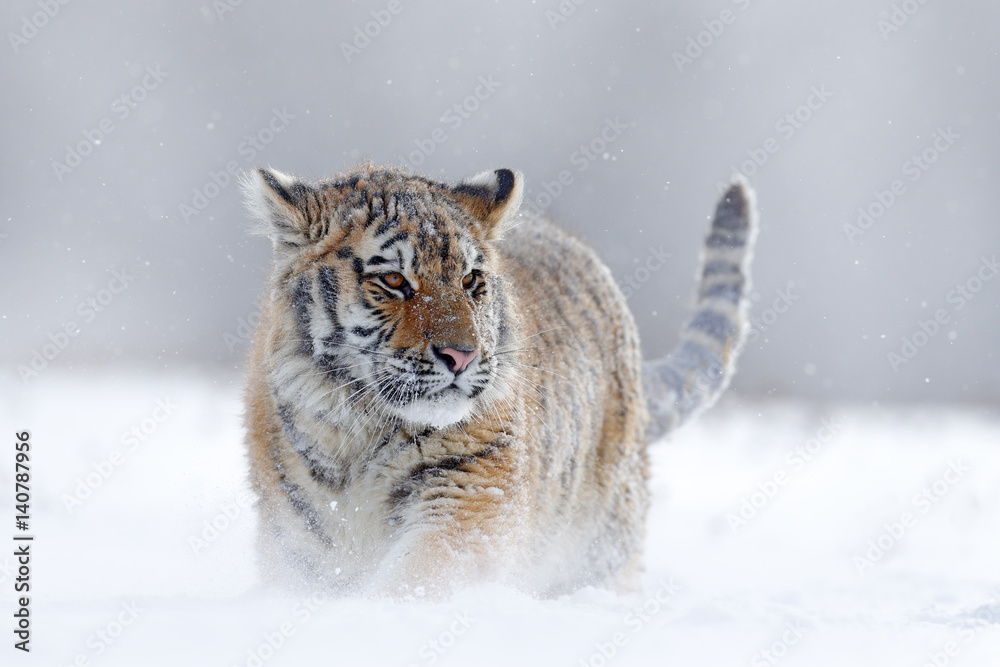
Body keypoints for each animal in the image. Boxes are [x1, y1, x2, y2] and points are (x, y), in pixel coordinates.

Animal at [242, 163, 756, 600]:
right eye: (394, 280)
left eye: (470, 279)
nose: (462, 356)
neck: (358, 433)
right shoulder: (292, 540)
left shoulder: (469, 495)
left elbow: (417, 577)